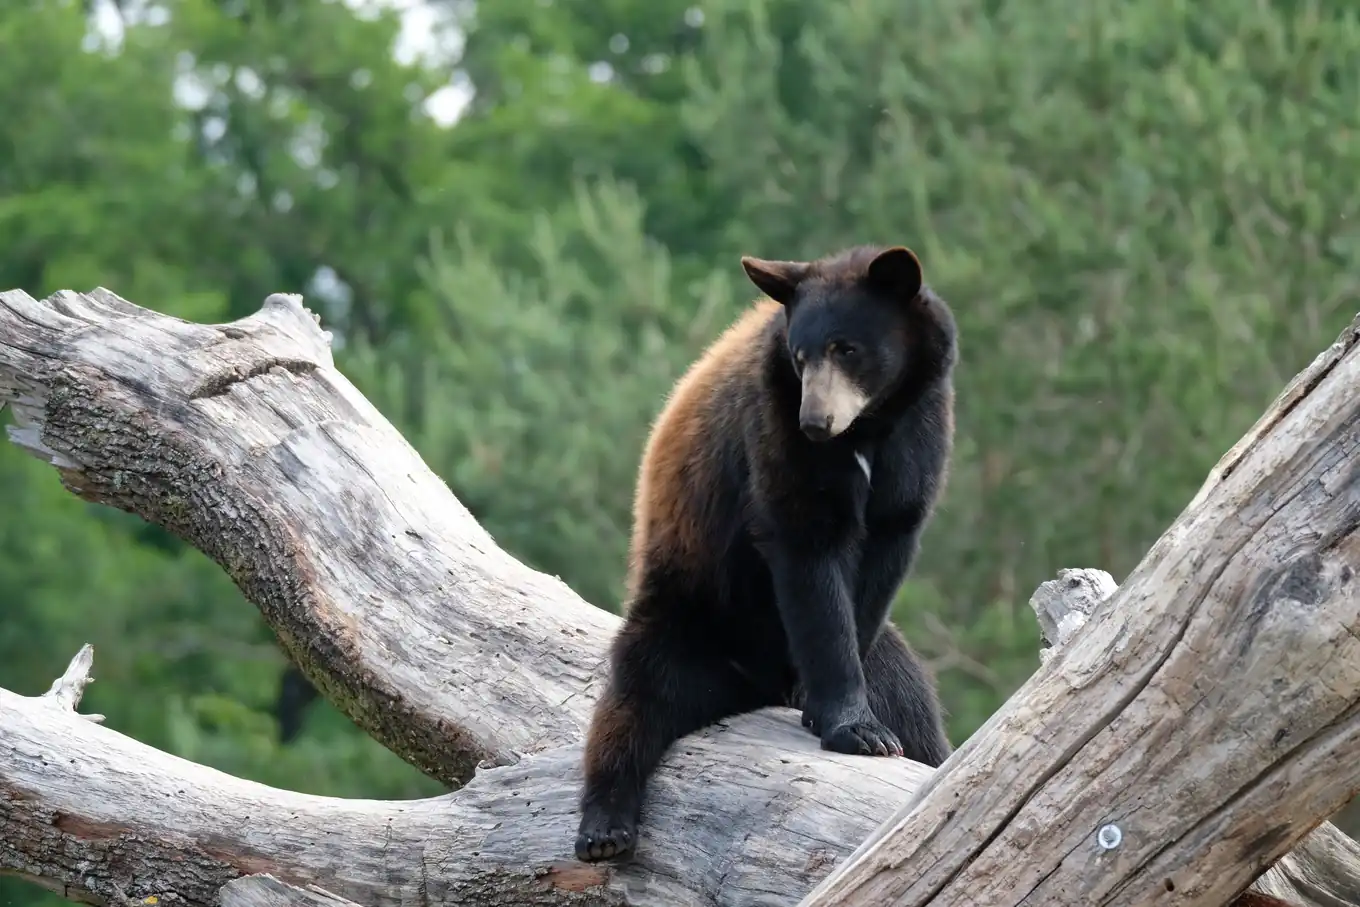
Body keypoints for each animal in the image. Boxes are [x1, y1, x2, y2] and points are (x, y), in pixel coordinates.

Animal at [574, 243, 957, 862]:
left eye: (846, 347)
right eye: (800, 357)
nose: (816, 421)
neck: (869, 428)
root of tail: (749, 685)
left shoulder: (919, 431)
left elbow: (884, 553)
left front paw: (847, 717)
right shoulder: (774, 425)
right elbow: (806, 549)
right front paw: (856, 728)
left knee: (911, 698)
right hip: (687, 609)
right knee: (635, 700)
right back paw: (605, 828)